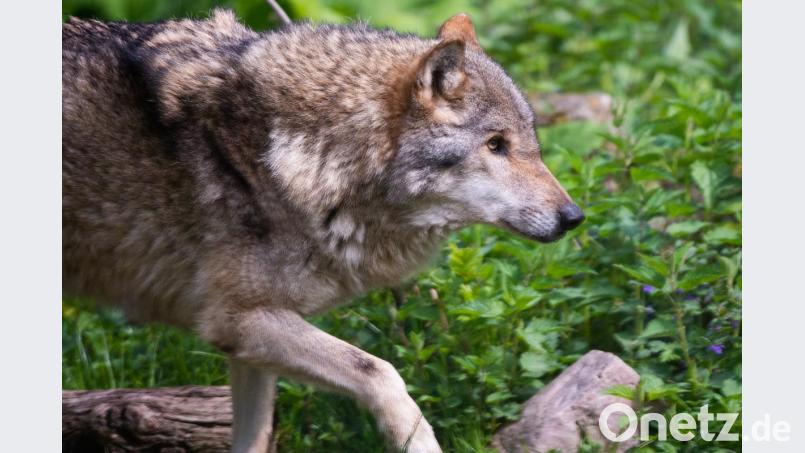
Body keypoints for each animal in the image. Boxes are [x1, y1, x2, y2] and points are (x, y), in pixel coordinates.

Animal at [62, 10, 584, 452]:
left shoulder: (248, 337)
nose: (574, 216)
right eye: (496, 145)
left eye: (531, 144)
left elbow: (255, 436)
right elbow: (382, 373)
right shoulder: (236, 321)